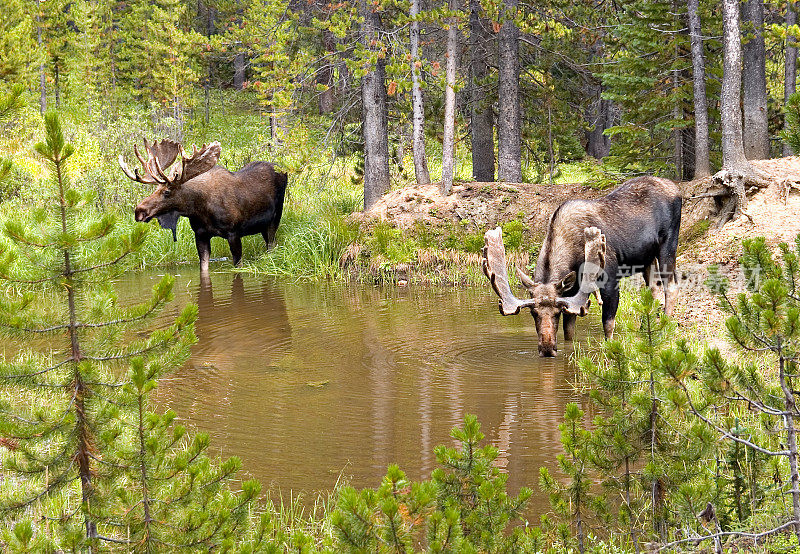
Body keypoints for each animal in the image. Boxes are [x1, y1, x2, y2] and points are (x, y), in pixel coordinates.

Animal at [120, 138, 290, 272]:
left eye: (167, 191)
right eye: (155, 189)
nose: (139, 211)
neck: (199, 210)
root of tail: (285, 171)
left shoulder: (234, 233)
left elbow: (238, 265)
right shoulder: (200, 234)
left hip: (275, 217)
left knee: (272, 244)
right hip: (263, 226)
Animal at [482, 177, 680, 358]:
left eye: (557, 312)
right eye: (533, 313)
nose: (546, 349)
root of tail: (675, 187)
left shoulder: (610, 281)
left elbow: (608, 325)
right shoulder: (571, 293)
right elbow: (569, 332)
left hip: (668, 244)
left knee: (671, 286)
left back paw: (665, 327)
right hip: (647, 258)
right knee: (653, 288)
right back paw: (646, 327)